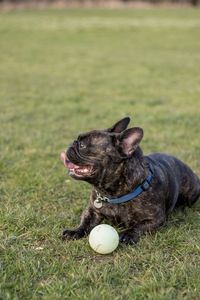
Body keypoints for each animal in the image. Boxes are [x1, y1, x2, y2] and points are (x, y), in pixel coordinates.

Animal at [60, 117, 199, 244]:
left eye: (82, 145)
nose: (71, 144)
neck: (111, 193)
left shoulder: (155, 219)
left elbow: (138, 226)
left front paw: (128, 234)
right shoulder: (92, 211)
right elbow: (85, 222)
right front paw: (75, 231)